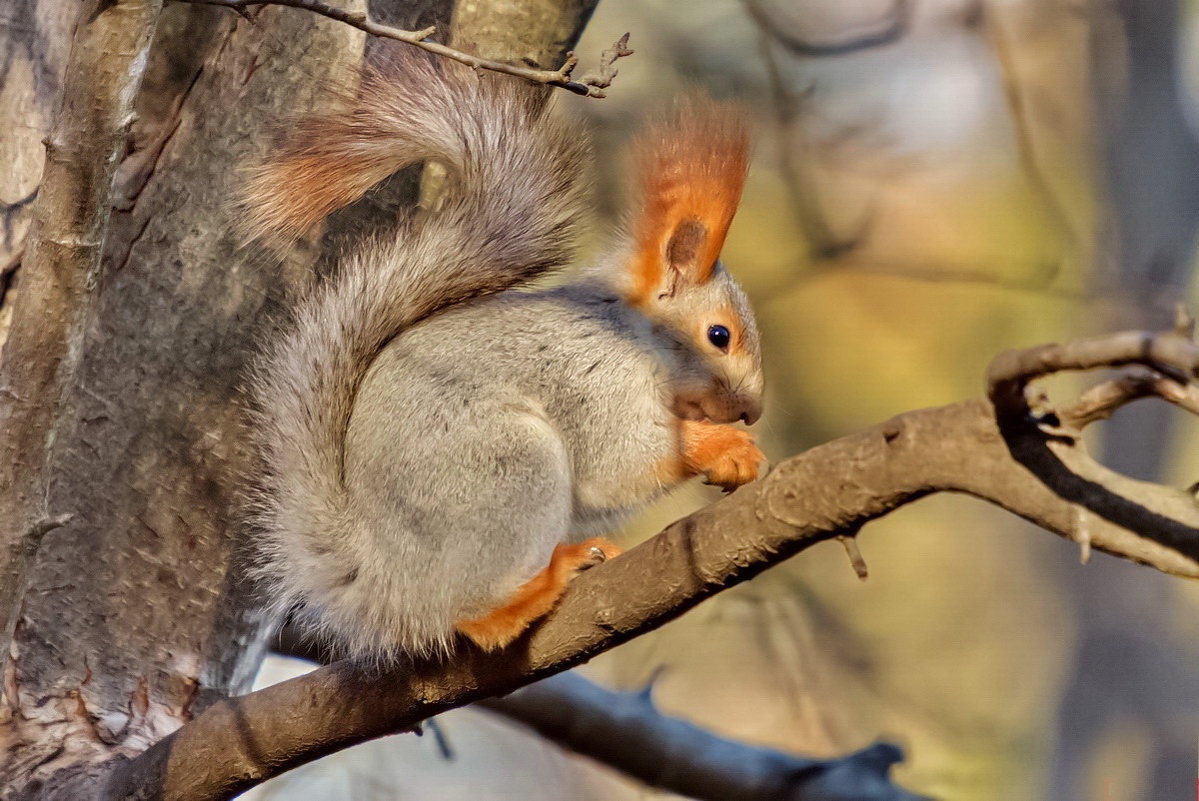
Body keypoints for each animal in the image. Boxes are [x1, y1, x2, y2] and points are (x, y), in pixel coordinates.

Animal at [244, 51, 762, 661]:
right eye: (719, 335)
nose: (752, 411)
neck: (633, 337)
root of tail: (381, 582)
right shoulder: (593, 379)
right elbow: (617, 465)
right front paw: (726, 448)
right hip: (506, 468)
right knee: (469, 615)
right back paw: (532, 592)